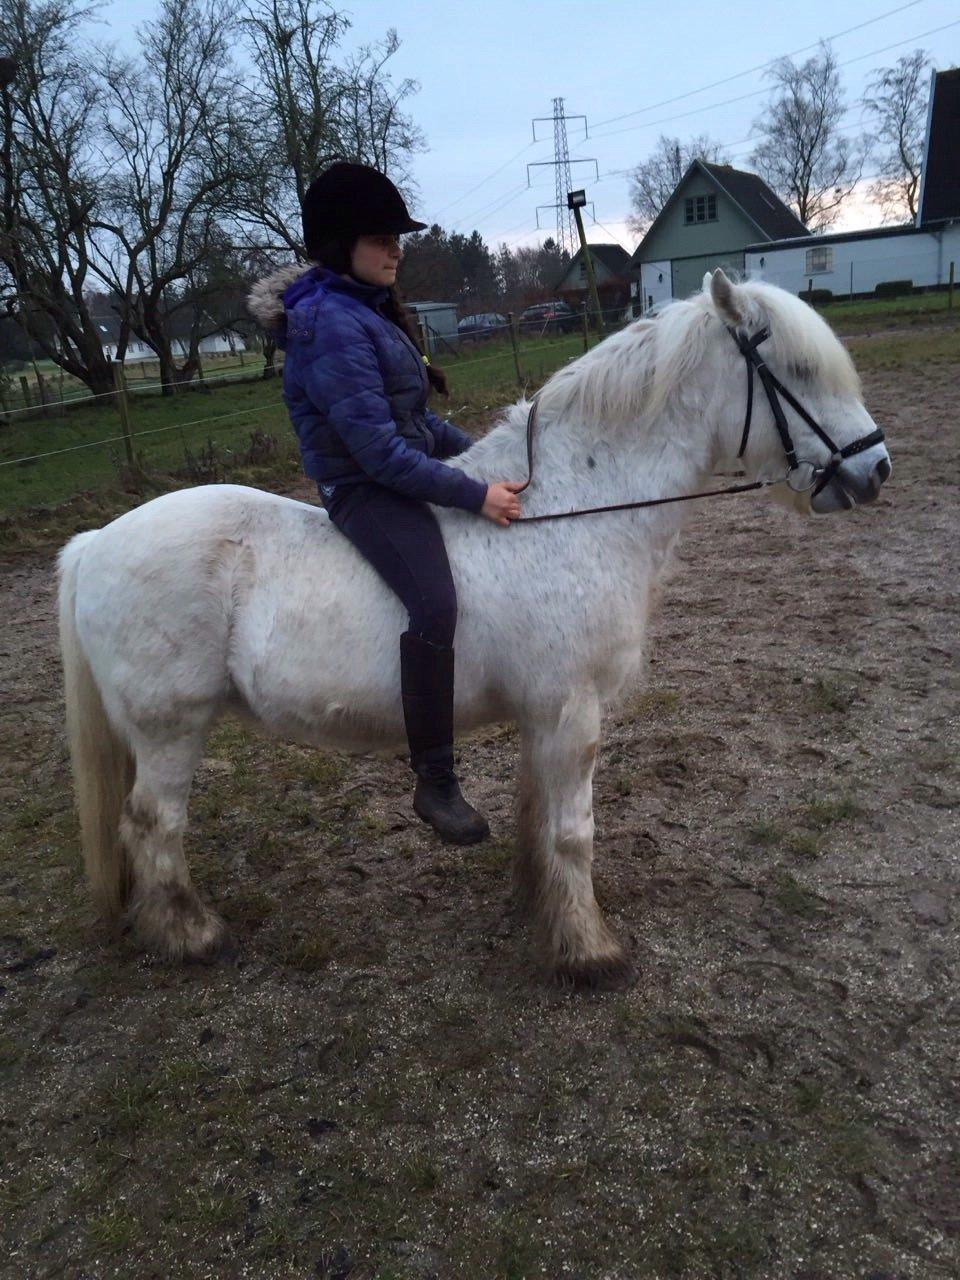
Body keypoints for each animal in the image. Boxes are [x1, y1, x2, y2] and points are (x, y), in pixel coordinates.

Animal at [57, 270, 891, 986]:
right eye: (798, 370)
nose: (875, 469)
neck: (570, 508)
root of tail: (94, 544)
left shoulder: (545, 714)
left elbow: (539, 819)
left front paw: (540, 912)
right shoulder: (572, 710)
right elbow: (573, 830)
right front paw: (589, 952)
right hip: (171, 727)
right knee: (153, 824)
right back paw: (191, 936)